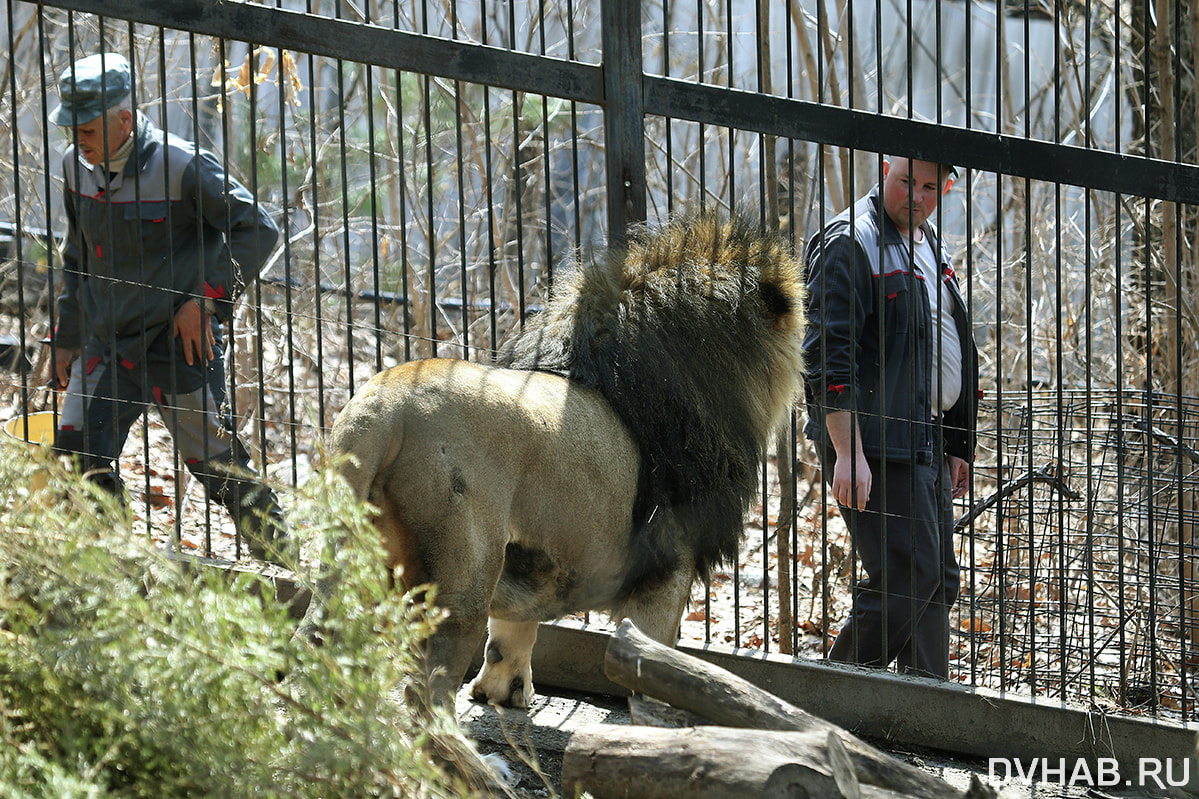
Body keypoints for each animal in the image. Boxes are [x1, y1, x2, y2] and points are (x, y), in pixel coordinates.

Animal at [326, 209, 805, 705]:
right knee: (428, 691)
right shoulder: (669, 566)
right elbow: (651, 661)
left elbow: (511, 633)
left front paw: (503, 691)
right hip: (462, 584)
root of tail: (384, 409)